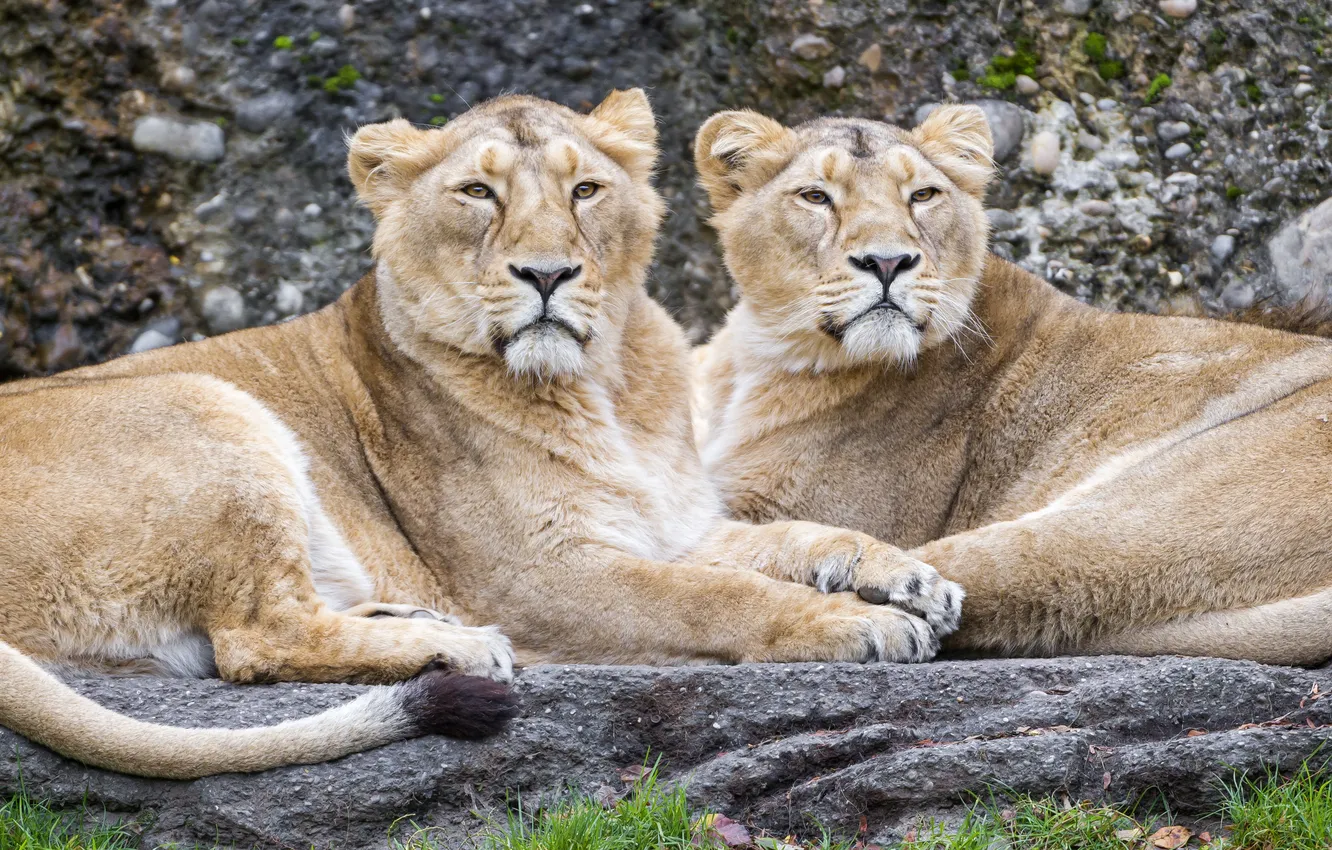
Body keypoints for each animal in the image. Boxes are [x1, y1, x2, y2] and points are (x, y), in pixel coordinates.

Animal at [0, 91, 962, 779]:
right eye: (477, 192)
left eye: (585, 190)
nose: (547, 274)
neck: (608, 384)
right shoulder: (535, 578)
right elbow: (717, 596)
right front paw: (858, 624)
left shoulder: (667, 525)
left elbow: (795, 538)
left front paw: (911, 579)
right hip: (205, 403)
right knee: (256, 641)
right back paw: (455, 646)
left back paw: (407, 617)